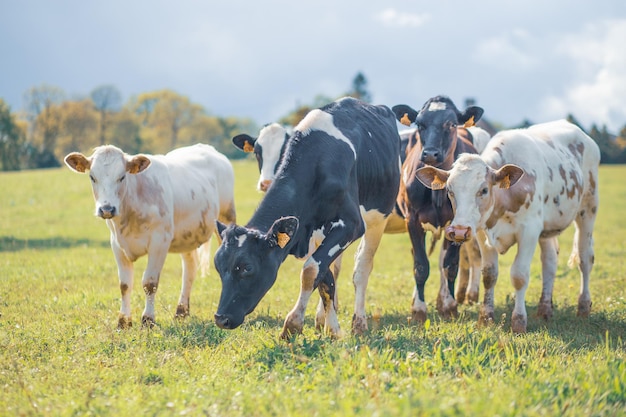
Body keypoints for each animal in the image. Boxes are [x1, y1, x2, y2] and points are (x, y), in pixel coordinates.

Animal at [63, 143, 235, 328]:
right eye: (92, 177)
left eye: (122, 177)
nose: (107, 209)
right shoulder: (116, 244)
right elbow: (124, 284)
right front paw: (123, 321)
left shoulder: (160, 241)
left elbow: (150, 283)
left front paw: (148, 319)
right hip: (187, 236)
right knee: (189, 269)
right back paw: (181, 310)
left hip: (226, 217)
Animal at [212, 97, 398, 338]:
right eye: (218, 266)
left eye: (247, 268)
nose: (221, 318)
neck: (317, 162)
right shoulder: (305, 230)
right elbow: (324, 277)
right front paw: (332, 329)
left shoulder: (351, 224)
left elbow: (311, 271)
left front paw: (293, 324)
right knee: (334, 270)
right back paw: (323, 320)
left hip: (378, 218)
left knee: (362, 269)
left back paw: (359, 322)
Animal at [390, 96, 482, 324]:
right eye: (419, 124)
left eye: (451, 124)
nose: (430, 153)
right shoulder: (412, 220)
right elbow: (420, 266)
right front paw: (419, 309)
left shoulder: (457, 224)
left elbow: (450, 265)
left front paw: (449, 306)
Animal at [414, 118, 600, 334]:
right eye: (450, 191)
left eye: (484, 190)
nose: (459, 230)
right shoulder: (482, 233)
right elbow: (489, 274)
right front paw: (486, 317)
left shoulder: (529, 232)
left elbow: (519, 275)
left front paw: (519, 321)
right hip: (547, 230)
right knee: (550, 262)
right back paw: (545, 309)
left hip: (588, 210)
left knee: (585, 259)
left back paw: (583, 307)